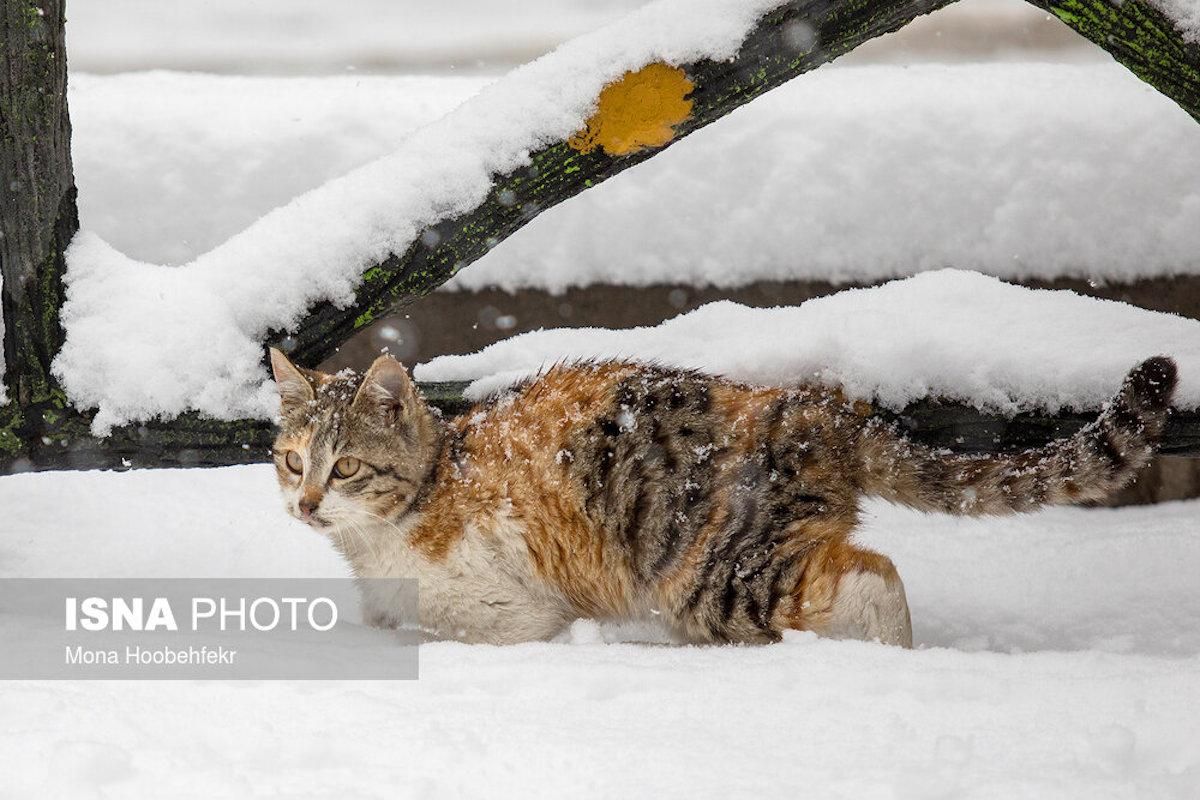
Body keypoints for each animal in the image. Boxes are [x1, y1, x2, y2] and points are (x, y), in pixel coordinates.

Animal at [267, 350, 1176, 652]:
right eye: (291, 460)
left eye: (345, 469)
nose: (306, 504)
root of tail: (818, 409)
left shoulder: (510, 605)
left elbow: (450, 627)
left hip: (711, 572)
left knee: (873, 576)